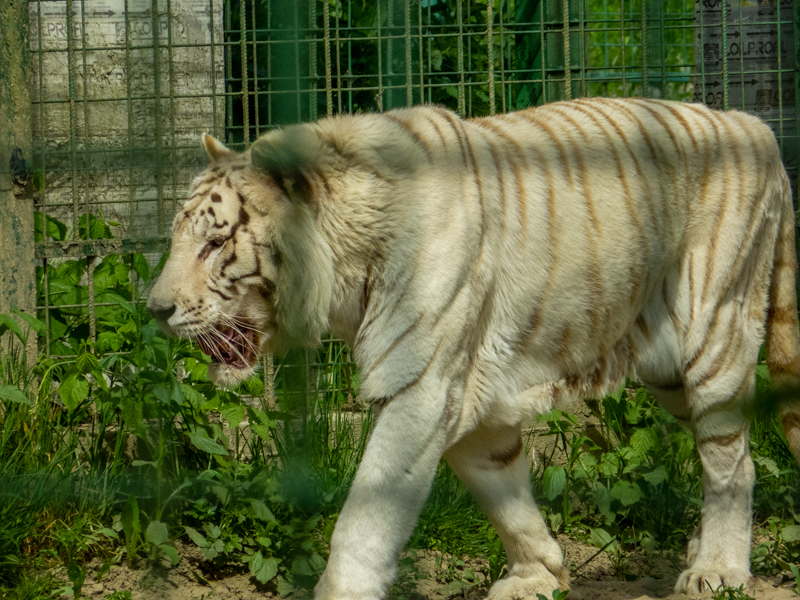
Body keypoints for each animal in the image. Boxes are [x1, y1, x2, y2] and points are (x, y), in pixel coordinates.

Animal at [148, 97, 800, 600]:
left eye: (214, 243)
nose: (155, 309)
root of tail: (754, 125)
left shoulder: (419, 388)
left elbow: (363, 523)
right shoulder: (467, 396)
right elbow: (505, 496)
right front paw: (540, 575)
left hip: (714, 338)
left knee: (731, 462)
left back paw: (717, 570)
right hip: (669, 373)